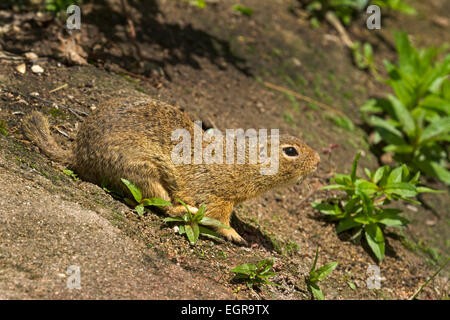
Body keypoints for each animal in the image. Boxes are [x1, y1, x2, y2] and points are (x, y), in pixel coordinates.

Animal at [22, 97, 320, 242]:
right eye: (291, 151)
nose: (318, 160)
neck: (245, 162)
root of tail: (77, 154)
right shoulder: (218, 196)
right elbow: (220, 219)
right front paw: (236, 236)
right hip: (143, 172)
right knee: (160, 205)